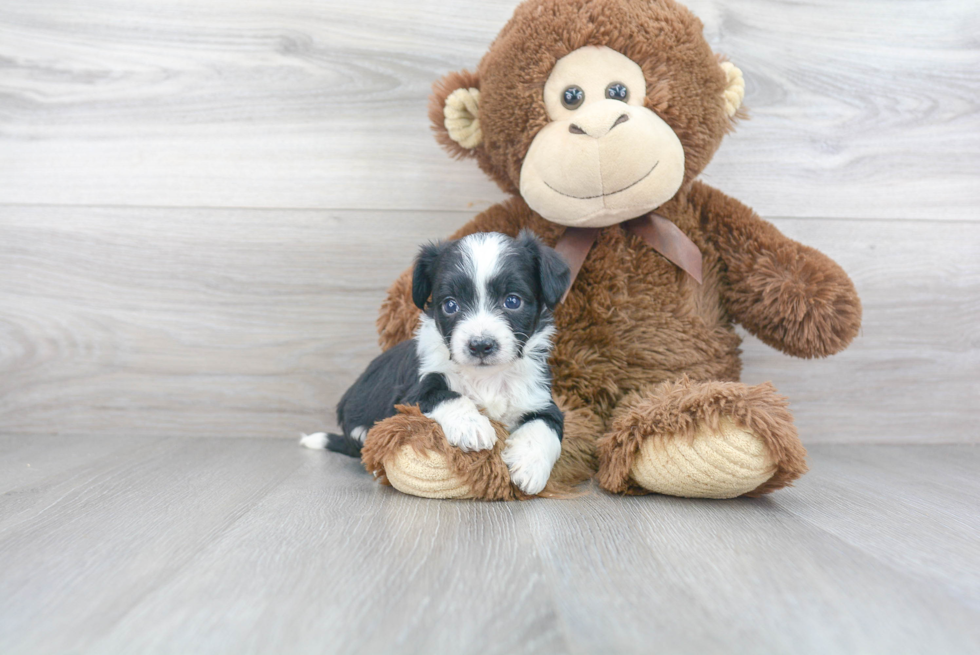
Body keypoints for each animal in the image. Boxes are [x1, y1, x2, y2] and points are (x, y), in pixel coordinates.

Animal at [302, 233, 572, 494]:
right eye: (450, 305)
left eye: (513, 301)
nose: (480, 345)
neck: (487, 377)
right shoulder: (413, 391)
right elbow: (446, 394)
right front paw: (472, 425)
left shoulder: (540, 398)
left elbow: (545, 426)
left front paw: (529, 466)